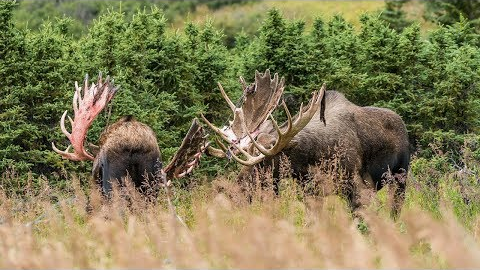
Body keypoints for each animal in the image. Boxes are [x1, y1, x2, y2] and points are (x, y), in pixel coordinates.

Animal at [201, 70, 410, 217]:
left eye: (264, 161)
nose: (234, 191)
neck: (310, 160)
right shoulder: (311, 193)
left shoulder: (359, 187)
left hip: (401, 177)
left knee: (396, 210)